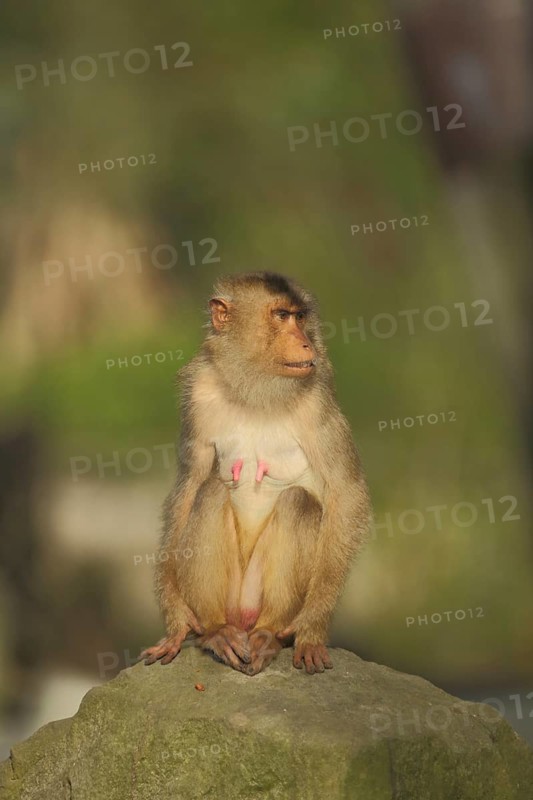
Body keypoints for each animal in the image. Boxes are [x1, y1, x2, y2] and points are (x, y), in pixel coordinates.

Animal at [140, 272, 371, 675]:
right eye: (281, 316)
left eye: (300, 316)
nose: (305, 341)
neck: (255, 389)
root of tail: (244, 619)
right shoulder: (198, 394)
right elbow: (190, 485)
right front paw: (177, 617)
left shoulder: (318, 401)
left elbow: (347, 491)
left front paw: (312, 628)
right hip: (233, 596)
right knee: (210, 490)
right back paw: (216, 631)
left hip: (257, 595)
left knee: (297, 501)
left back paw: (268, 633)